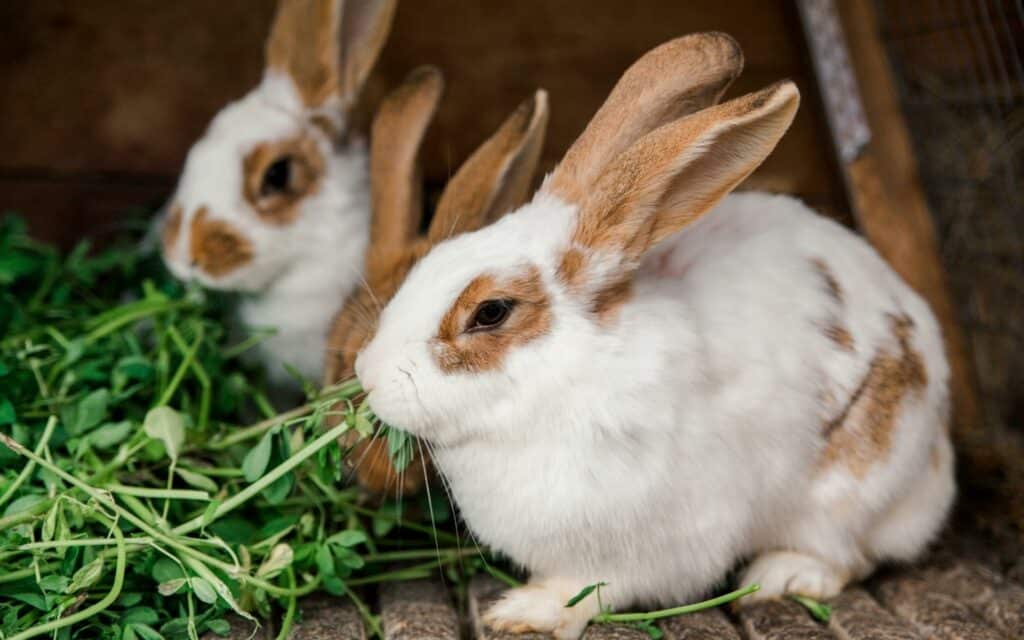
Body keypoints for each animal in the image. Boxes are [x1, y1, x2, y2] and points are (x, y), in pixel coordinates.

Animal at [350, 32, 950, 634]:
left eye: (491, 312)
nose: (367, 375)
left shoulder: (662, 540)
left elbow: (594, 588)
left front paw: (525, 611)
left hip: (848, 488)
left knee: (847, 553)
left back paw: (783, 575)